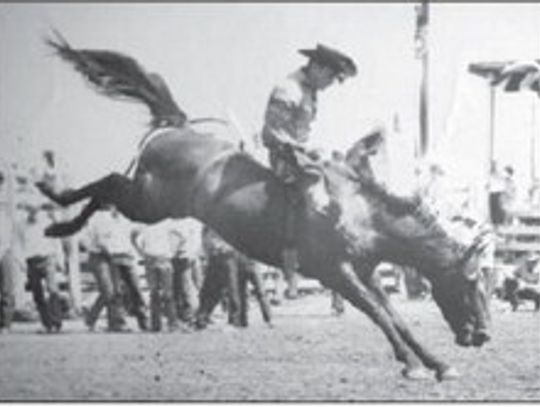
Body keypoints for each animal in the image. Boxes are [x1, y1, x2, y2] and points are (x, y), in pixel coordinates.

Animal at [39, 33, 494, 380]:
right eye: (470, 283)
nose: (485, 336)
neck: (360, 215)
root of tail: (179, 127)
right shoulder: (336, 272)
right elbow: (379, 316)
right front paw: (414, 365)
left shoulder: (366, 272)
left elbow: (395, 316)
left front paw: (437, 363)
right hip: (148, 202)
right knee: (107, 185)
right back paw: (55, 208)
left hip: (151, 204)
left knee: (106, 192)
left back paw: (57, 217)